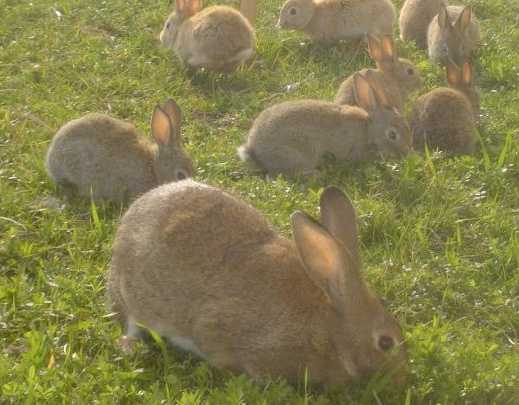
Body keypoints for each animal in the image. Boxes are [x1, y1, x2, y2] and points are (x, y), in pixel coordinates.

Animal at [108, 181, 410, 386]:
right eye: (385, 343)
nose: (403, 374)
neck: (327, 327)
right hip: (132, 295)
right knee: (132, 323)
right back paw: (129, 346)